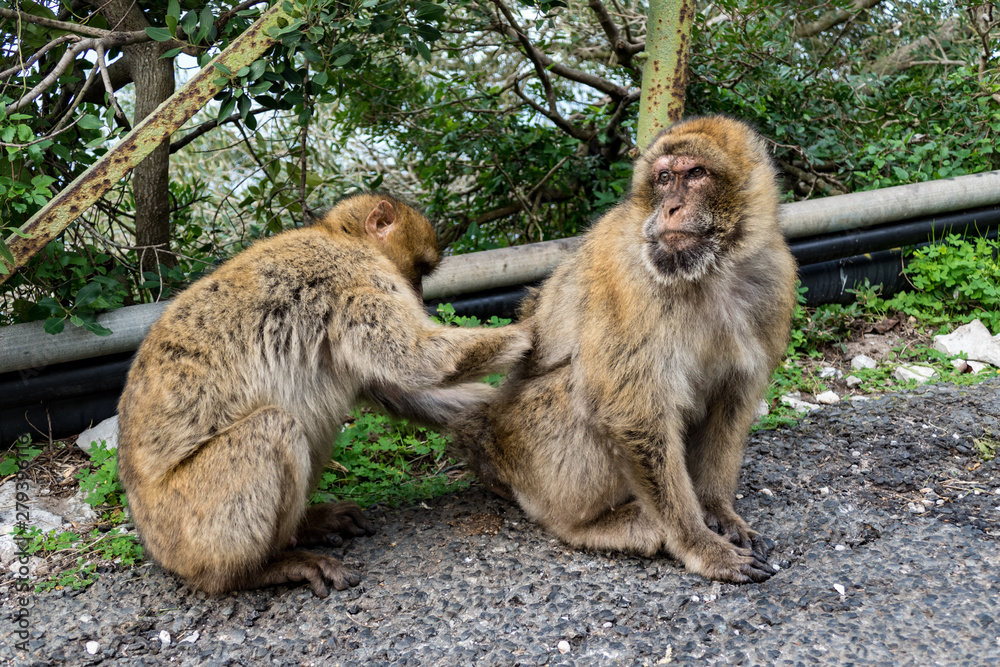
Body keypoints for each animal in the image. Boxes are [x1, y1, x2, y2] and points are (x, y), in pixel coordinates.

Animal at [117, 192, 532, 597]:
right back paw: (257, 570)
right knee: (274, 426)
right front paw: (528, 333)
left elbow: (398, 390)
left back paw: (307, 526)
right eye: (421, 269)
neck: (338, 236)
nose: (418, 295)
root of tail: (154, 545)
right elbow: (416, 360)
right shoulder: (359, 276)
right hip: (190, 527)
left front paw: (488, 429)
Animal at [451, 116, 797, 584]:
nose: (669, 208)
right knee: (579, 390)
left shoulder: (774, 277)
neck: (711, 271)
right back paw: (593, 526)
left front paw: (716, 510)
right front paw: (698, 542)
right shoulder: (627, 279)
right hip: (528, 456)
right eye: (664, 178)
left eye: (695, 174)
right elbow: (633, 411)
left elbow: (733, 399)